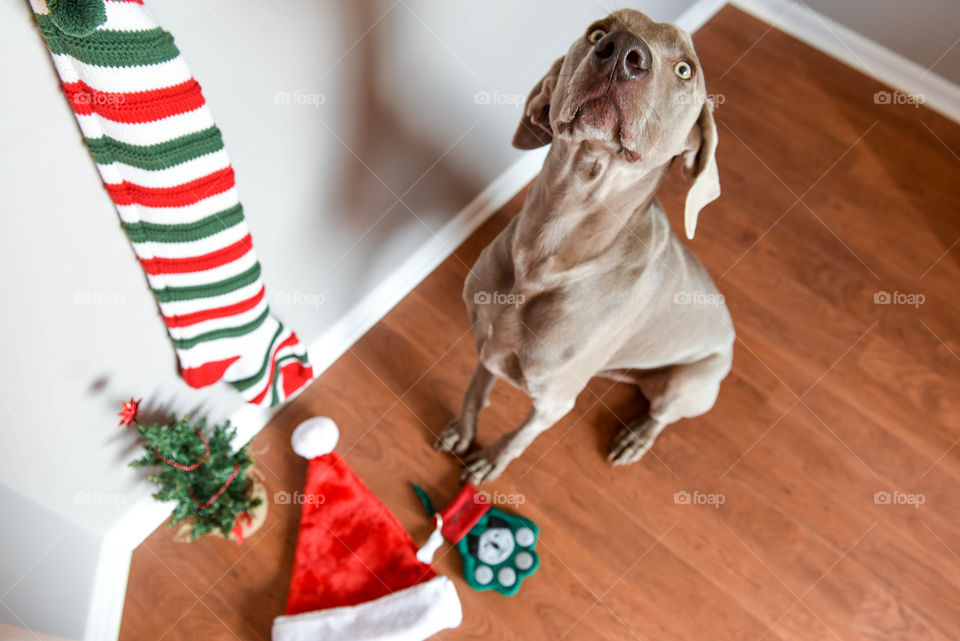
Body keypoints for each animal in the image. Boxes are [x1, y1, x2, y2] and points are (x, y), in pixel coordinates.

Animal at [436, 10, 736, 482]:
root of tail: (730, 328)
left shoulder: (553, 400)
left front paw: (489, 463)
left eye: (685, 70)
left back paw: (635, 438)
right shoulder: (488, 342)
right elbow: (474, 390)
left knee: (662, 416)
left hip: (689, 384)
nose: (623, 52)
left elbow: (519, 439)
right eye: (598, 30)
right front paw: (462, 433)